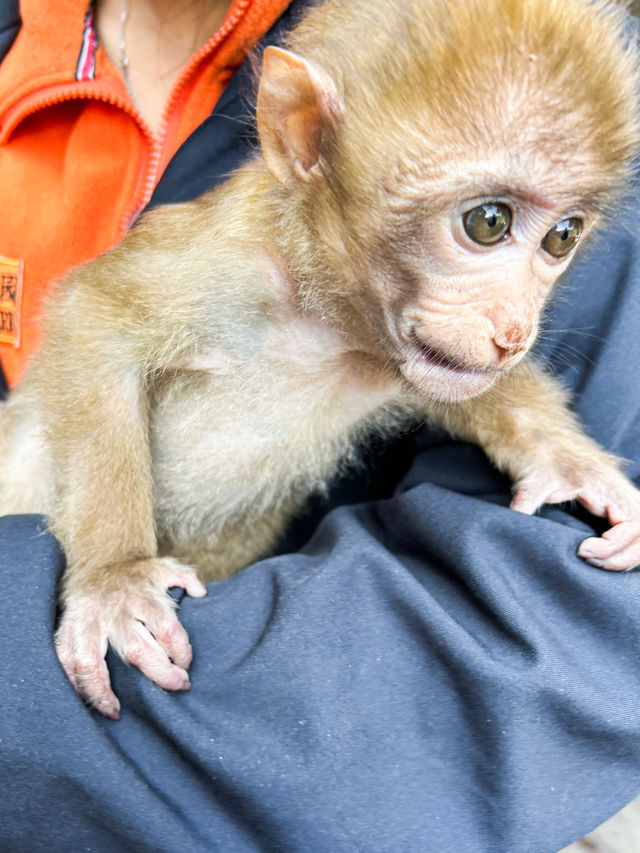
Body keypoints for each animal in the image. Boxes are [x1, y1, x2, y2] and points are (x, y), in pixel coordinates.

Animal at [1, 0, 640, 720]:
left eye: (564, 235)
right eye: (488, 222)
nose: (513, 330)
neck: (327, 324)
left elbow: (470, 385)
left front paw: (572, 465)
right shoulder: (221, 262)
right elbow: (94, 318)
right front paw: (114, 579)